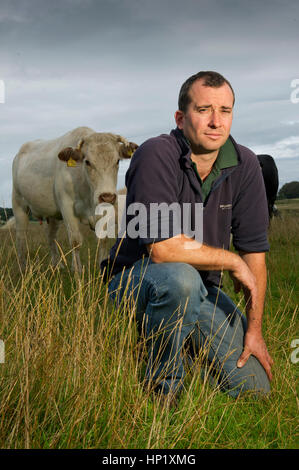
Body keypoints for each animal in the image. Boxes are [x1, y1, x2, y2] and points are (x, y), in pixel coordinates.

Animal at [10, 126, 138, 272]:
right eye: (87, 162)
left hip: (52, 215)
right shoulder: (67, 206)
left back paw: (57, 265)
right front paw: (77, 271)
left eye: (117, 161)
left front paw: (101, 269)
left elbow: (102, 239)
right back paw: (23, 268)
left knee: (51, 237)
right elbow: (75, 241)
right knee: (21, 237)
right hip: (19, 204)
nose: (107, 196)